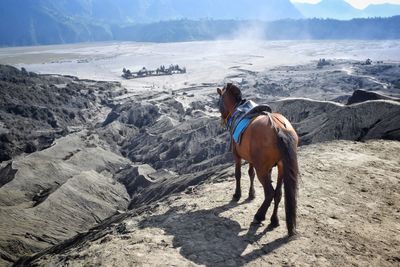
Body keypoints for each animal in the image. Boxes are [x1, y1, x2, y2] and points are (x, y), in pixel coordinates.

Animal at [217, 84, 298, 237]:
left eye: (219, 102)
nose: (222, 120)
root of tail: (279, 127)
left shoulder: (237, 156)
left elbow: (238, 174)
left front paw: (237, 195)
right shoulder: (253, 161)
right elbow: (250, 174)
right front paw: (251, 194)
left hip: (262, 168)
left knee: (270, 192)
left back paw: (259, 216)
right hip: (281, 167)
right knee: (278, 193)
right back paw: (274, 220)